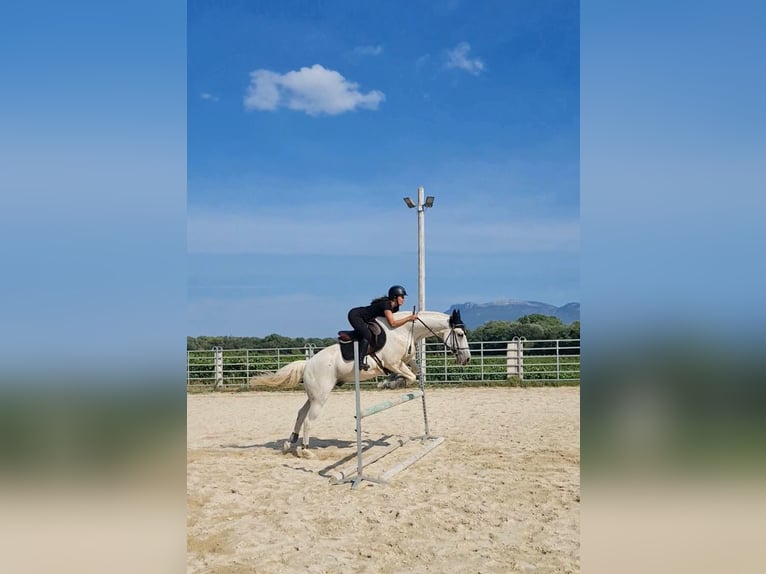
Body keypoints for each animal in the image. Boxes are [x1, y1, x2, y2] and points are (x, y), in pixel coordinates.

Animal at [250, 310, 474, 460]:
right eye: (460, 334)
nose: (467, 359)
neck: (404, 330)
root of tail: (308, 363)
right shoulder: (393, 362)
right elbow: (409, 376)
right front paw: (389, 384)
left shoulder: (405, 361)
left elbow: (416, 372)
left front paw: (392, 381)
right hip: (321, 396)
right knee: (309, 421)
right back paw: (305, 451)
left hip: (313, 395)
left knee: (300, 413)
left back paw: (290, 443)